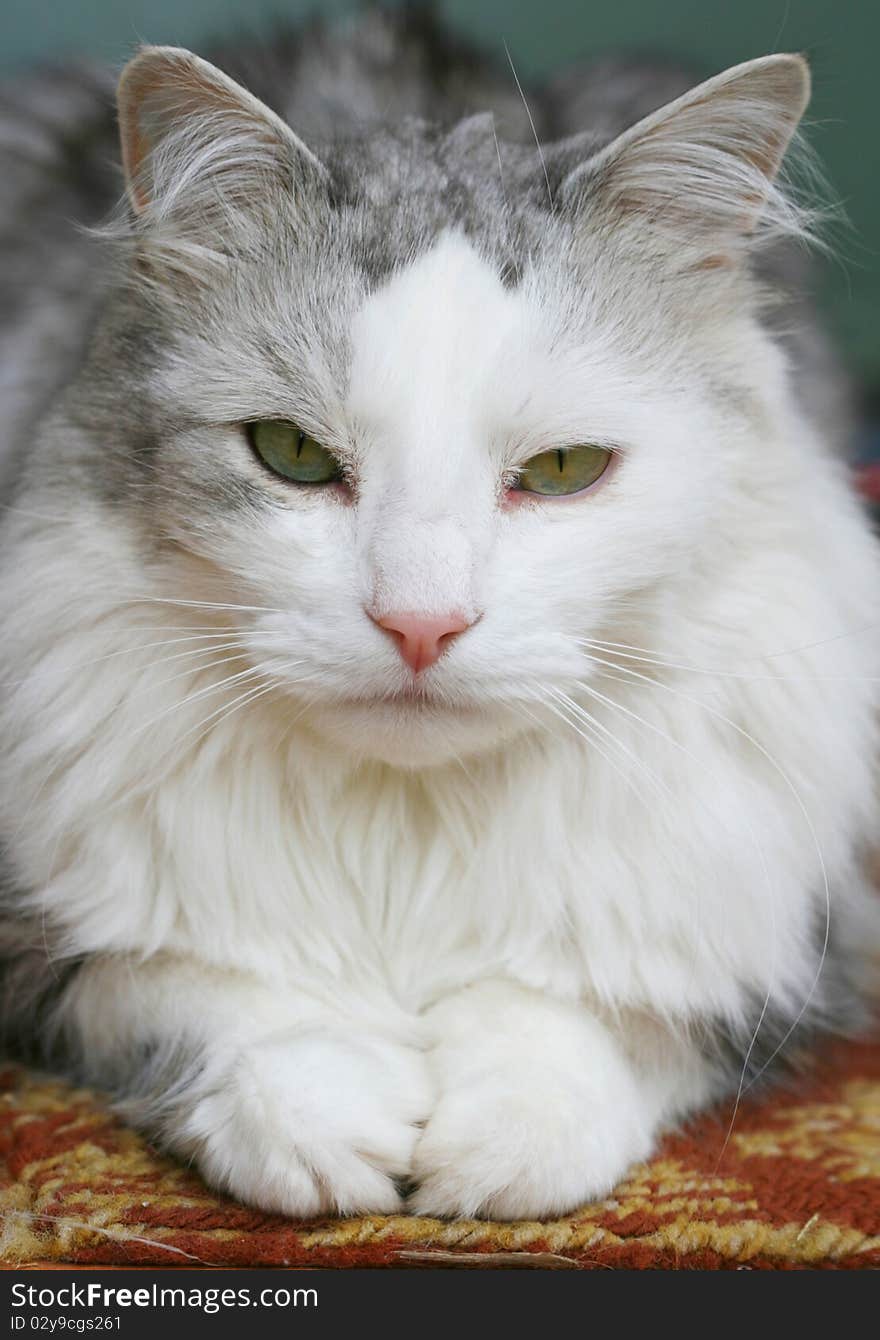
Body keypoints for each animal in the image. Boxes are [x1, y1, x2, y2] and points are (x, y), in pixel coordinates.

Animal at [0, 5, 873, 1222]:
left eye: (562, 470)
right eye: (292, 453)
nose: (420, 624)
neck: (404, 831)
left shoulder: (795, 946)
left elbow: (600, 1016)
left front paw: (495, 1142)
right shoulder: (48, 938)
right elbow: (204, 991)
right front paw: (331, 1123)